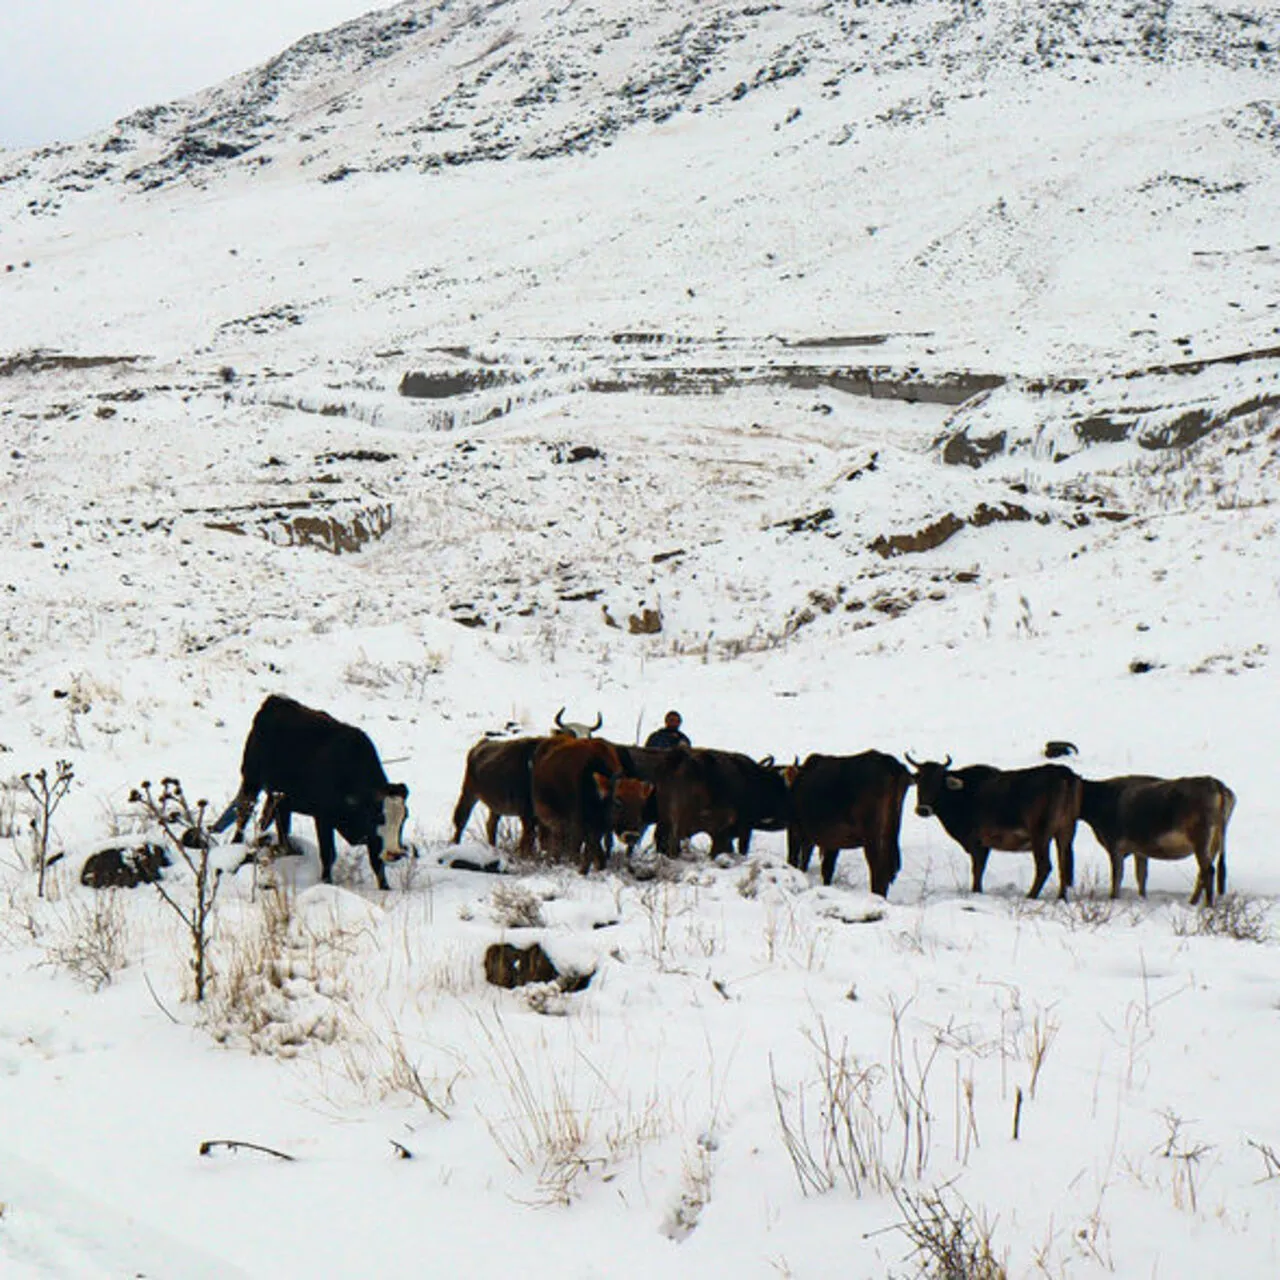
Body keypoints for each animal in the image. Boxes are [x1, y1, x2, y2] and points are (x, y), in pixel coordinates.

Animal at [527, 737, 650, 875]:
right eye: (617, 802)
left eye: (641, 804)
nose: (631, 836)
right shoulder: (581, 827)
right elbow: (586, 852)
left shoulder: (597, 829)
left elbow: (593, 854)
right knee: (554, 841)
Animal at [788, 747, 911, 896]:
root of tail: (890, 765)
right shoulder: (831, 840)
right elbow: (826, 868)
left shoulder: (796, 830)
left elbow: (796, 860)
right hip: (889, 835)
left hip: (873, 838)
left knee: (879, 872)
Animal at [1080, 773, 1239, 906]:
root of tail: (1215, 784)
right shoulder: (1139, 851)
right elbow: (1141, 877)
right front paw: (1142, 898)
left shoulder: (1115, 845)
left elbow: (1117, 877)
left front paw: (1114, 898)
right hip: (1215, 842)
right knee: (1203, 872)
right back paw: (1192, 902)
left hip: (1201, 839)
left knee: (1208, 871)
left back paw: (1206, 905)